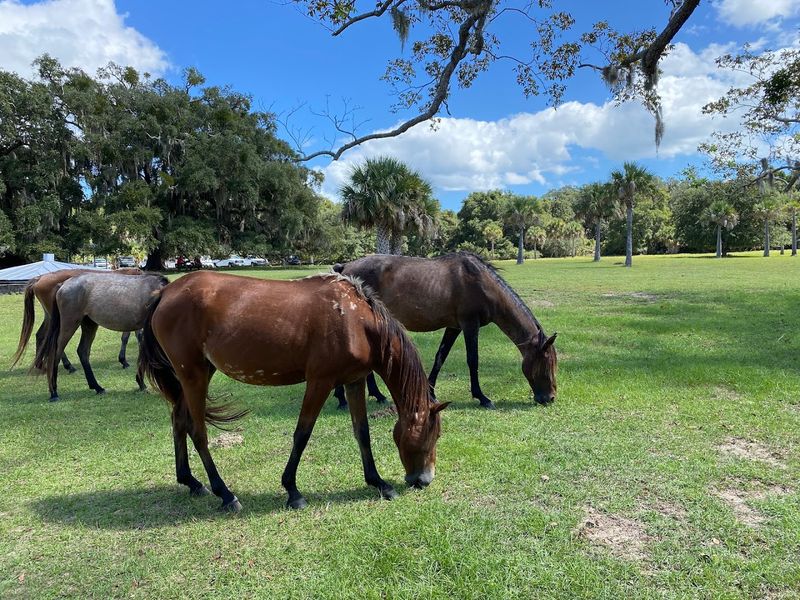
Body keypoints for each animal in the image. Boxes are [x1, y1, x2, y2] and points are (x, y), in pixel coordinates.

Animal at [12, 267, 144, 373]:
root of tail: (40, 278)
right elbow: (129, 337)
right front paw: (124, 360)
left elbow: (133, 336)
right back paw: (68, 366)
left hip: (50, 316)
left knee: (41, 335)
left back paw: (40, 365)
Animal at [36, 272, 169, 401]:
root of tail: (63, 285)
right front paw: (141, 383)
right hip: (69, 324)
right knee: (56, 353)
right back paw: (54, 392)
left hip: (89, 324)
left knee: (82, 351)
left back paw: (97, 387)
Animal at [138, 271, 448, 512]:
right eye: (431, 435)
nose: (424, 480)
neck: (355, 320)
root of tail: (165, 293)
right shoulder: (320, 381)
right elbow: (302, 434)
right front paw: (293, 491)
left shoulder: (354, 380)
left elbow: (362, 432)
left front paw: (379, 483)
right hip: (193, 375)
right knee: (198, 431)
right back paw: (225, 494)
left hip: (198, 373)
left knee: (179, 421)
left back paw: (191, 482)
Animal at [332, 252, 558, 409]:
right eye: (547, 362)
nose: (550, 398)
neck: (482, 283)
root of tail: (345, 267)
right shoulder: (469, 324)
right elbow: (472, 360)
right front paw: (482, 397)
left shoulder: (454, 327)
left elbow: (441, 357)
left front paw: (430, 393)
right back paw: (344, 399)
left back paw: (375, 395)